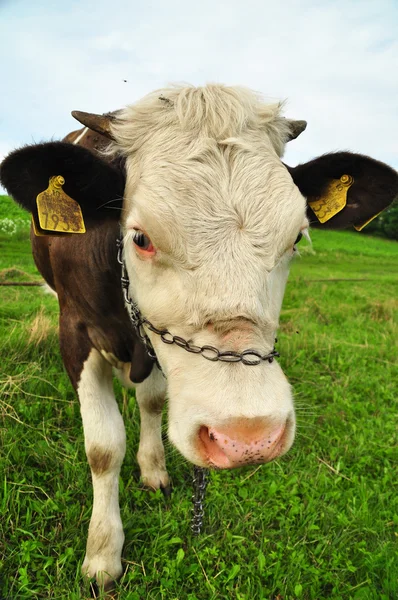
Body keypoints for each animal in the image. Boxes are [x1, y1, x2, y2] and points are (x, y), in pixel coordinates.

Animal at [1, 85, 396, 592]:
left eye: (296, 238)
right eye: (141, 238)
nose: (247, 437)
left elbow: (152, 402)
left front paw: (153, 469)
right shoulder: (76, 331)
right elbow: (104, 448)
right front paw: (103, 553)